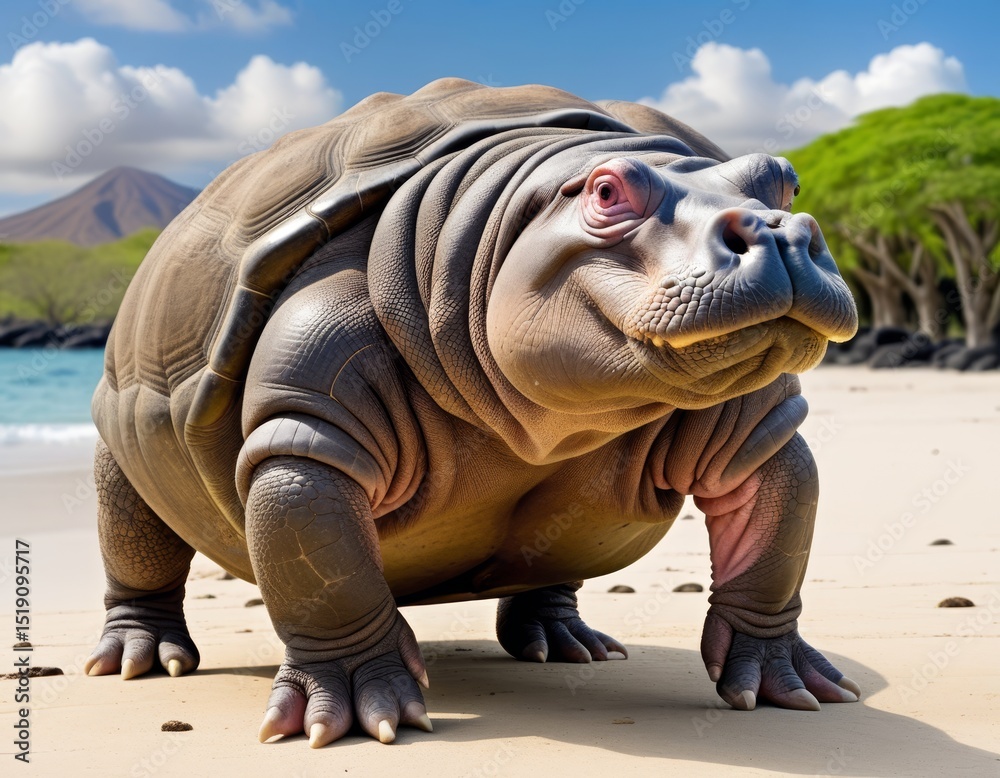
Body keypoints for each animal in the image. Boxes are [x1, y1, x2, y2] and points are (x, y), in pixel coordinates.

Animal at [86, 78, 861, 747]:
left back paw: (569, 646)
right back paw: (140, 660)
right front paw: (355, 714)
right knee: (133, 523)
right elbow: (321, 558)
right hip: (119, 414)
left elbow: (776, 525)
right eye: (608, 191)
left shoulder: (755, 423)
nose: (778, 231)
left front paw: (790, 686)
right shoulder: (311, 414)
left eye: (782, 180)